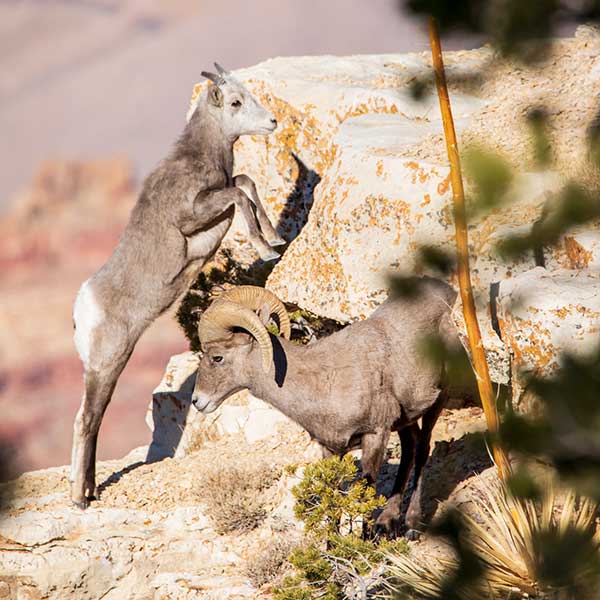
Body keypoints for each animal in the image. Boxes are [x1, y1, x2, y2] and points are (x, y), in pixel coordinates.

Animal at [70, 63, 286, 508]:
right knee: (86, 421)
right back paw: (80, 499)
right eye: (235, 102)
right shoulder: (195, 214)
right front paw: (267, 248)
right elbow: (239, 192)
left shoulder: (225, 190)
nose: (272, 122)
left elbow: (245, 182)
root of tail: (83, 308)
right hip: (106, 365)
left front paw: (274, 239)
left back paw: (91, 490)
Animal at [192, 282, 460, 540]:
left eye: (217, 357)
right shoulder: (330, 449)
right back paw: (387, 524)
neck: (323, 381)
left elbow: (366, 494)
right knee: (410, 447)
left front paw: (365, 543)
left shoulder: (374, 436)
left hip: (438, 399)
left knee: (422, 449)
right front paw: (333, 546)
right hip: (406, 419)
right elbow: (333, 502)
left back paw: (412, 526)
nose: (197, 401)